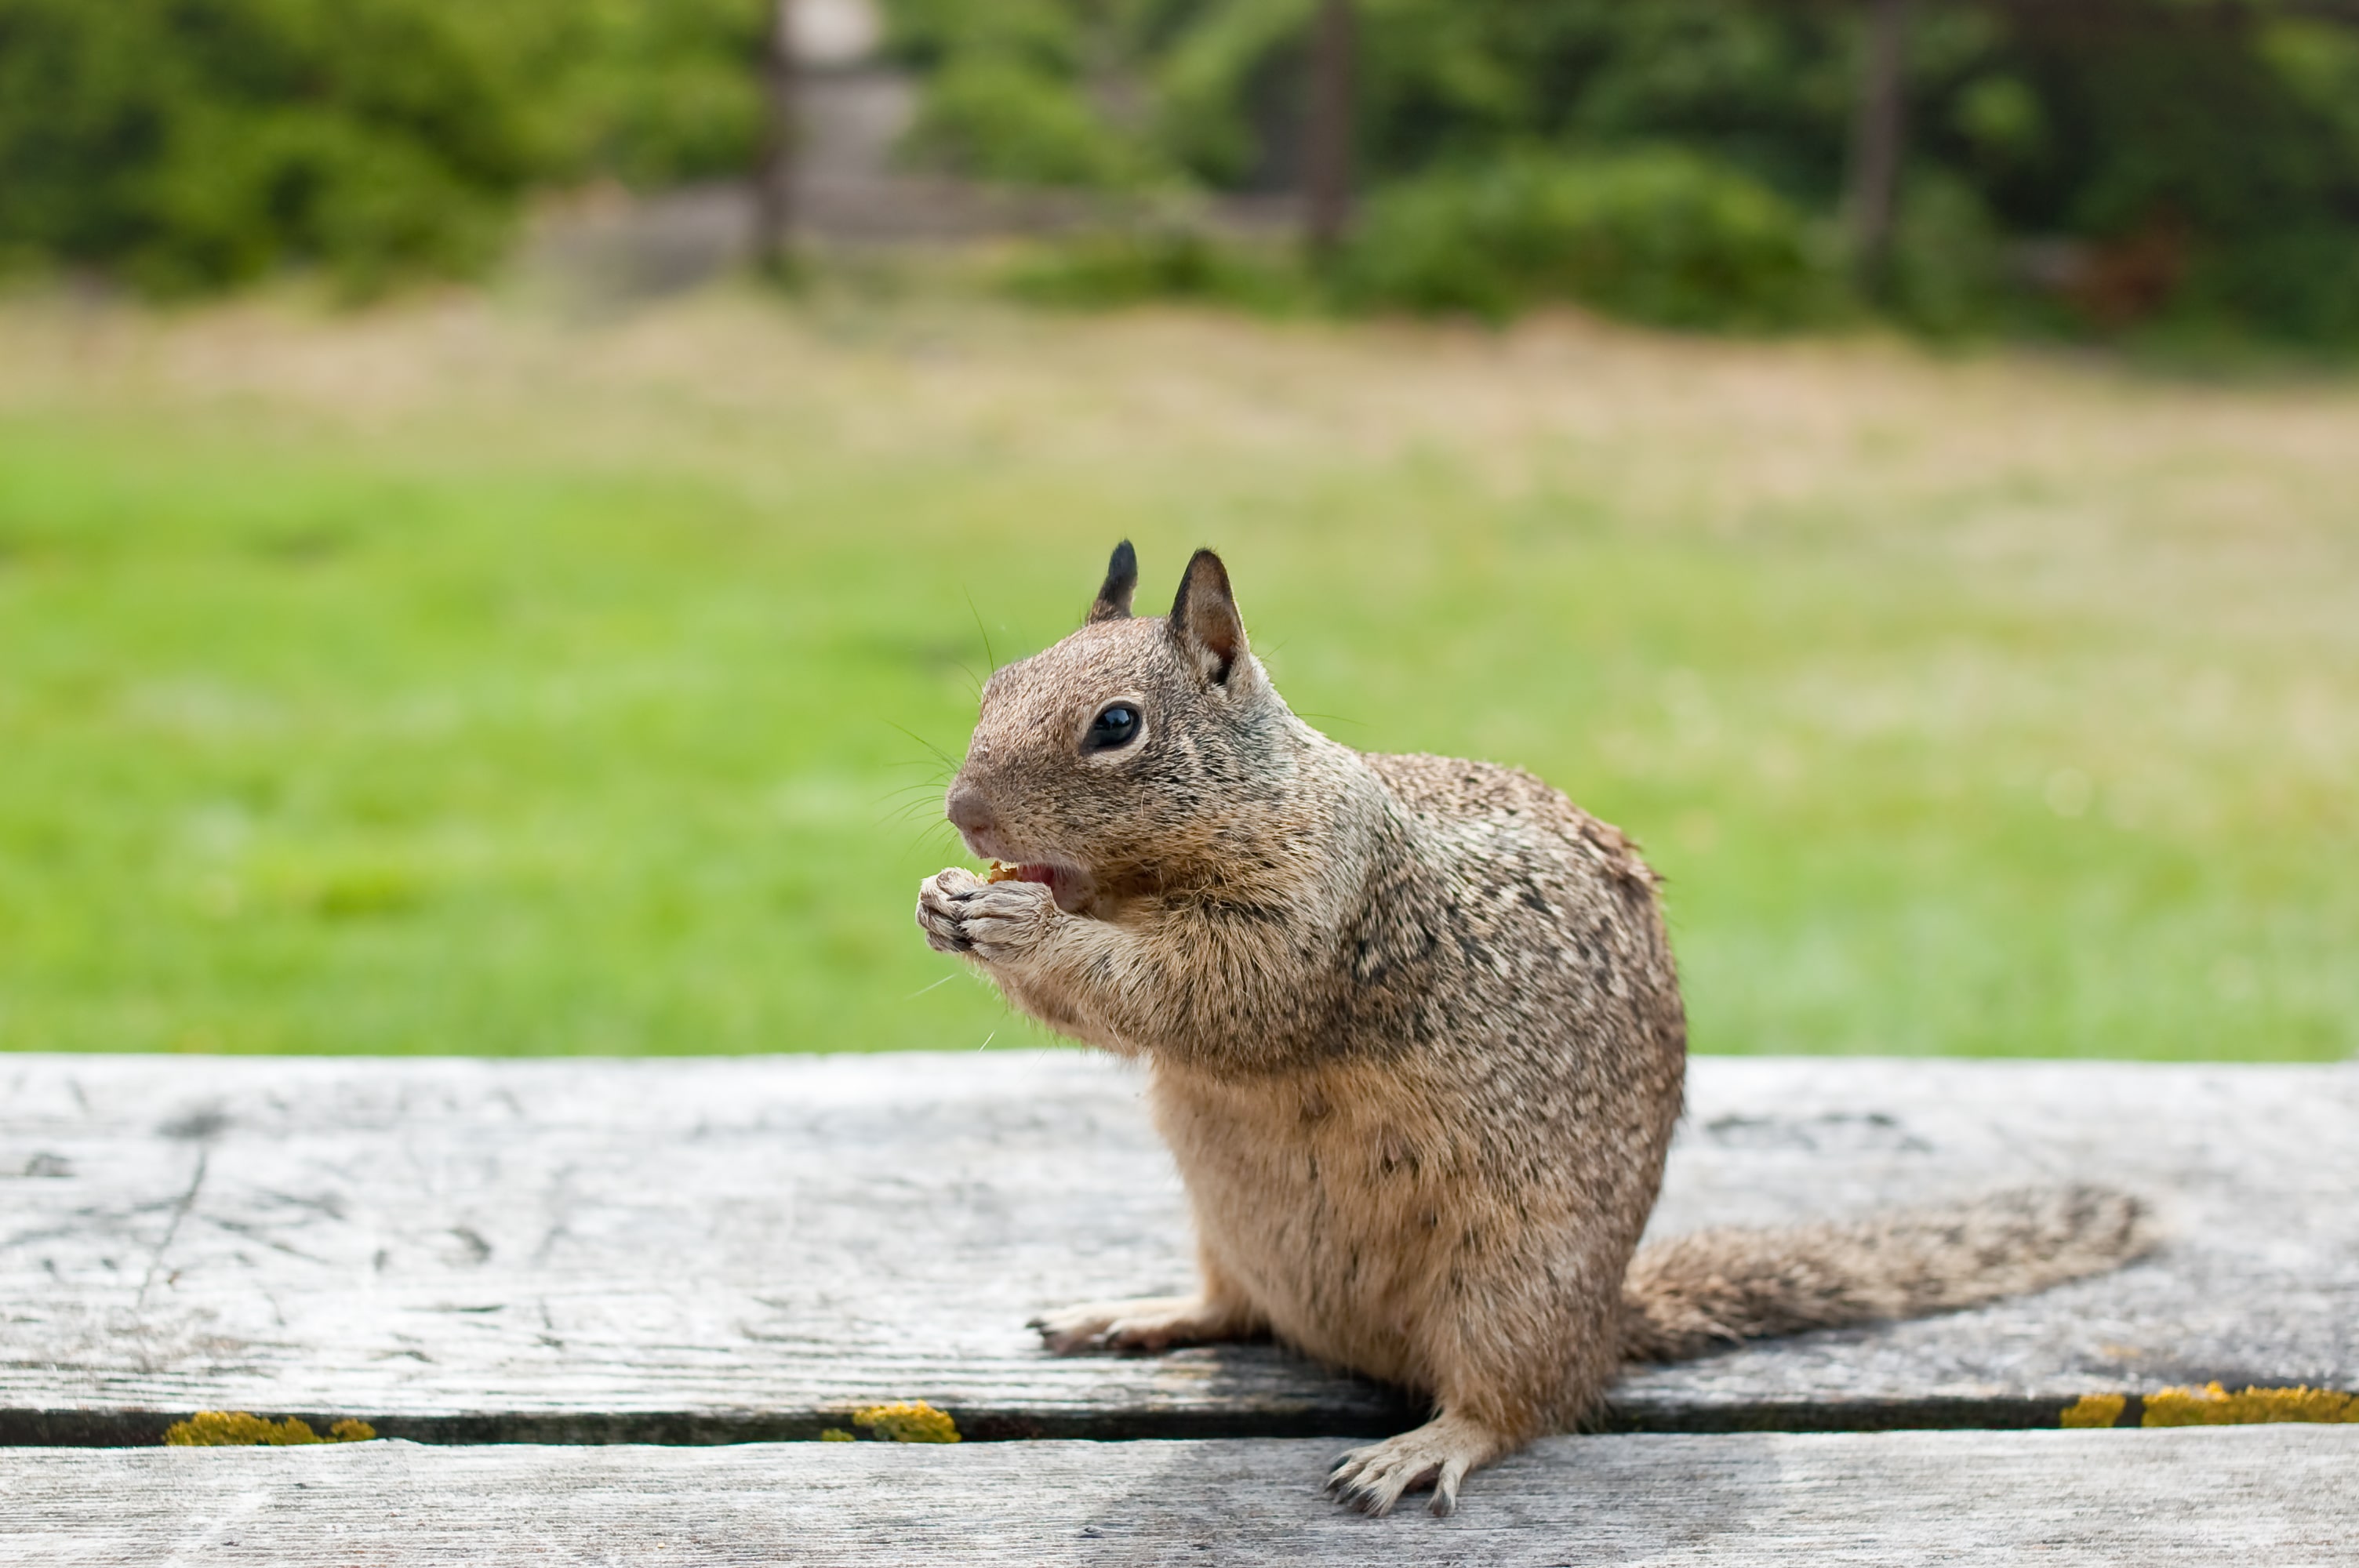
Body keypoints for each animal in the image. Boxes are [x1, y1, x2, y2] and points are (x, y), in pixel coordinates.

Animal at [915, 542, 2153, 1517]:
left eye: (1116, 726)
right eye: (994, 684)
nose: (964, 813)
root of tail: (1607, 1320)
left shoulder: (1323, 917)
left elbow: (1198, 993)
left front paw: (1018, 920)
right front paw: (944, 901)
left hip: (1511, 1286)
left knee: (1521, 1406)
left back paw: (1425, 1445)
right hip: (1232, 1234)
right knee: (1238, 1310)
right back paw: (1140, 1312)